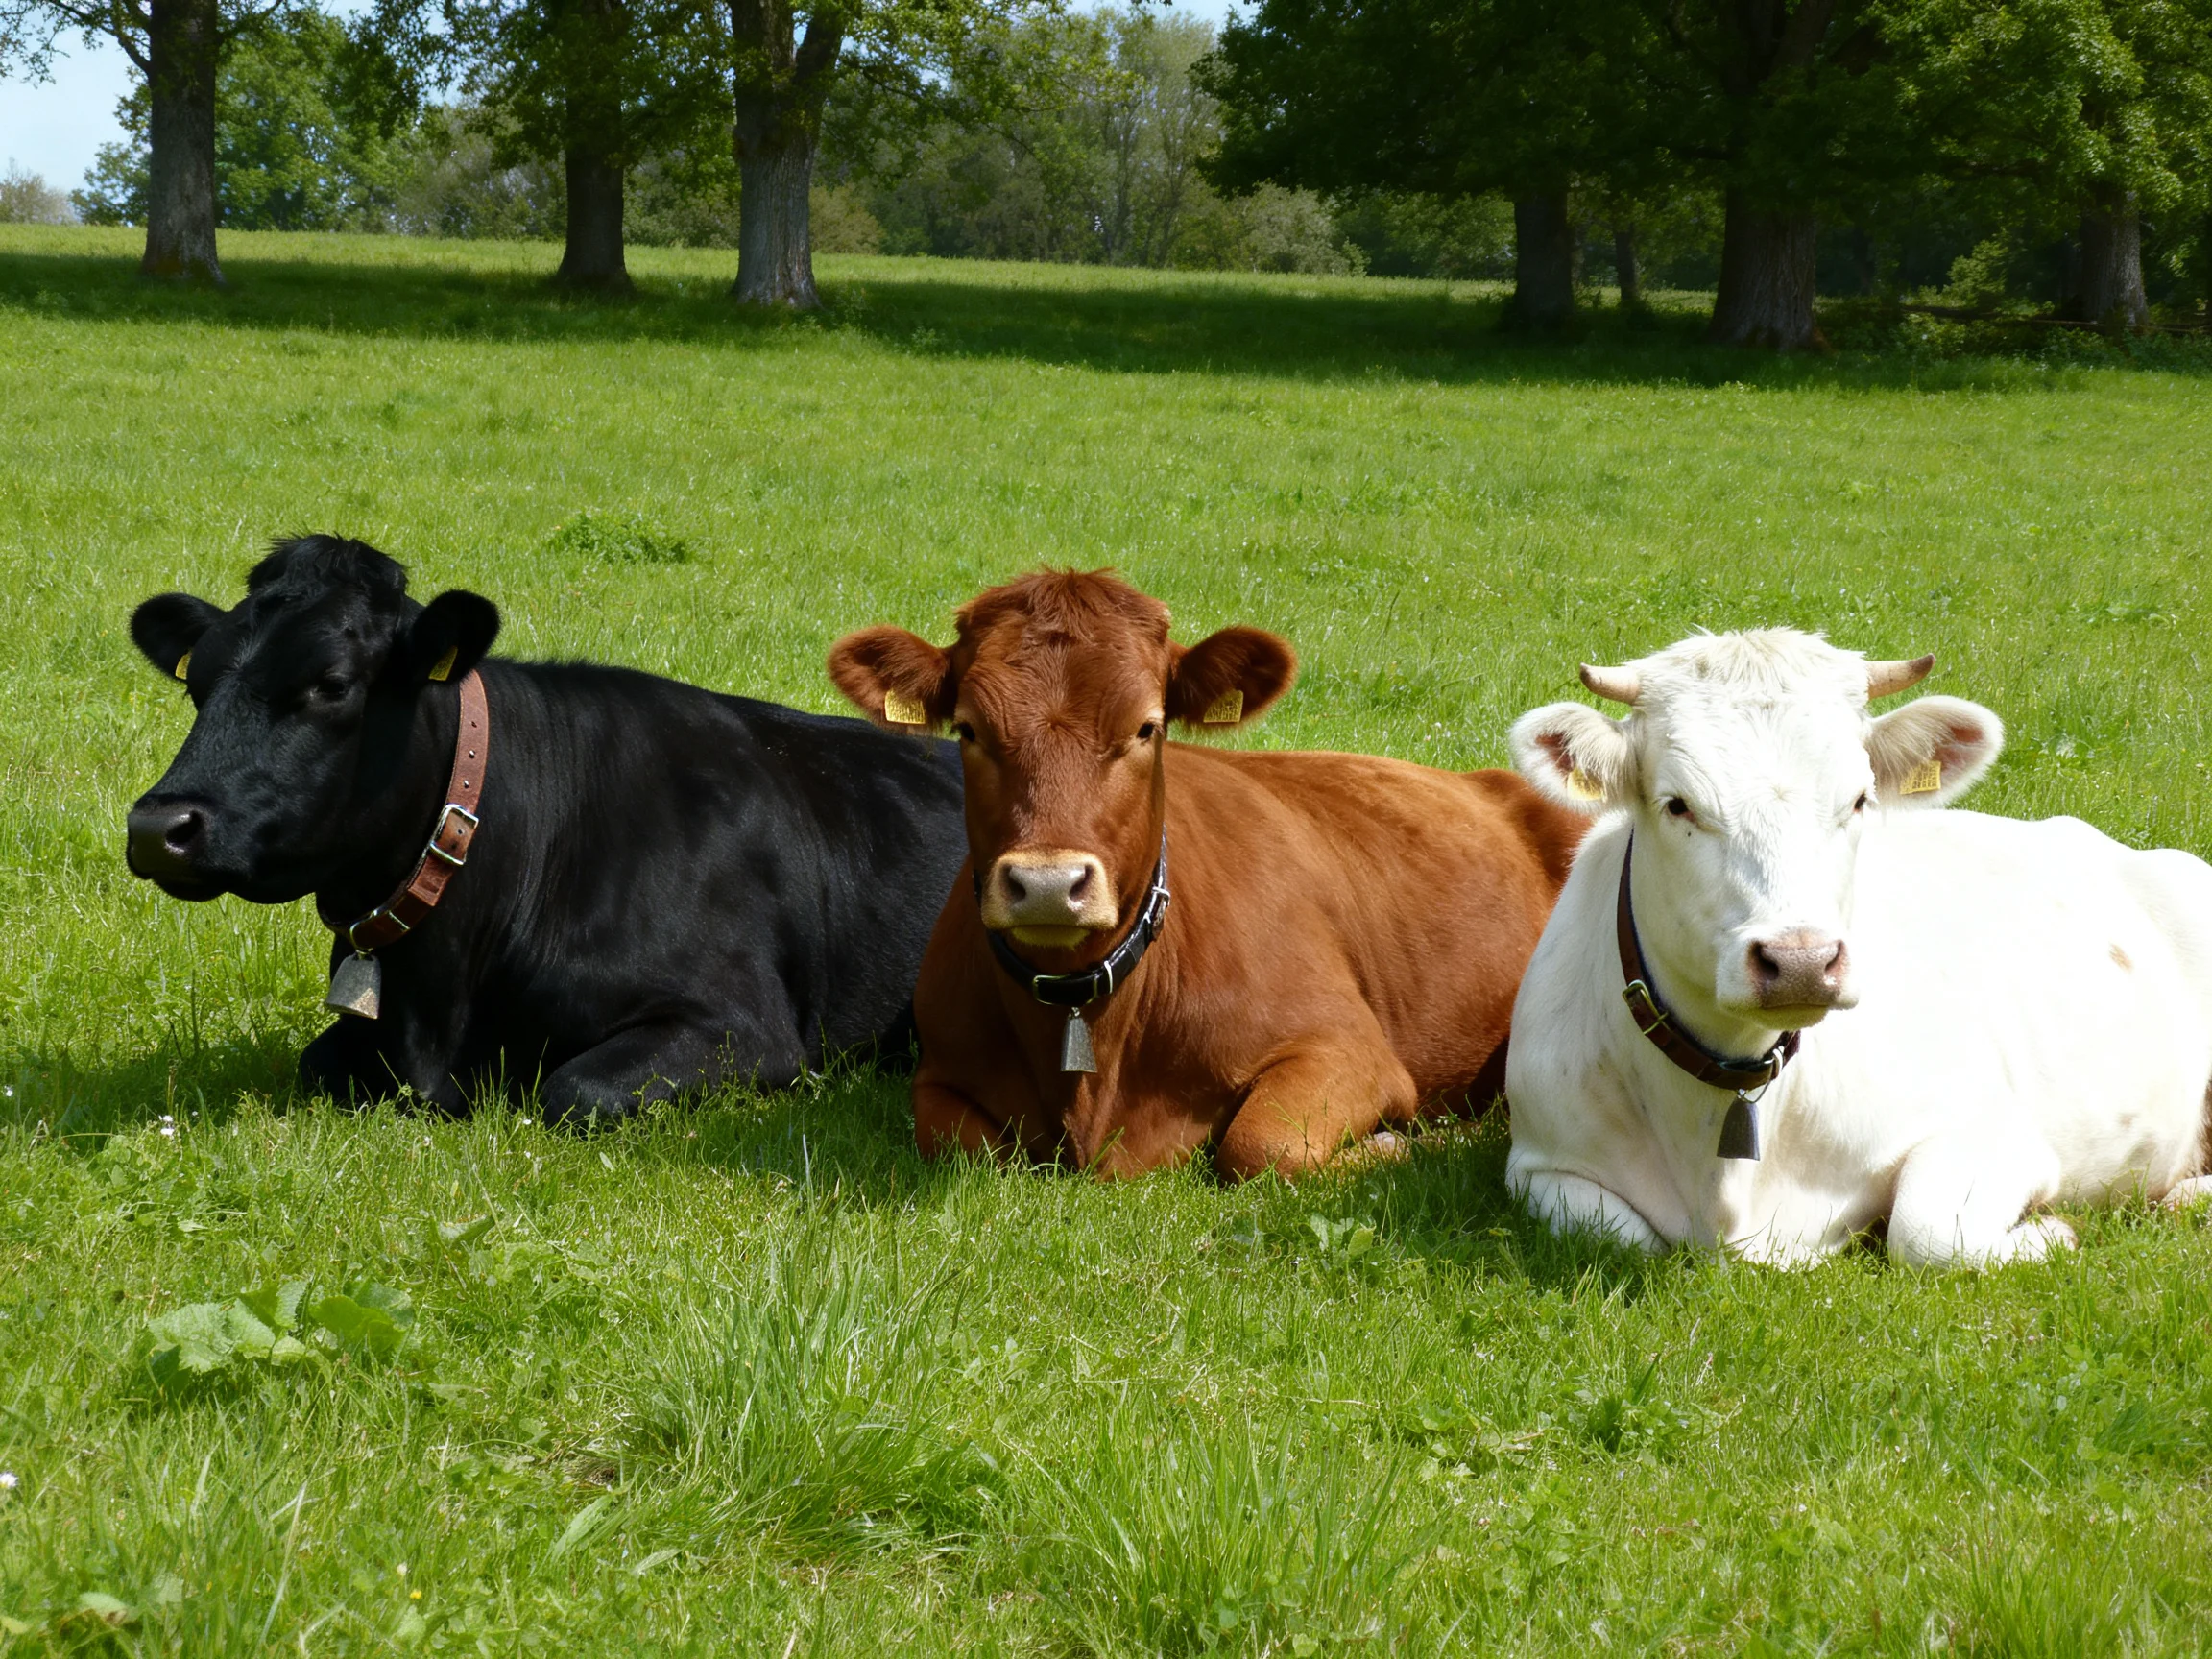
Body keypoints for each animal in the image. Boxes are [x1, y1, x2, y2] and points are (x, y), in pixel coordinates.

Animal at [125, 535, 968, 1120]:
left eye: (331, 683)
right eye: (198, 684)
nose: (157, 825)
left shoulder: (747, 1027)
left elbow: (575, 1091)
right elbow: (317, 1062)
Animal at [825, 569, 1587, 1179]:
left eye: (1146, 728)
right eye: (969, 730)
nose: (1047, 884)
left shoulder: (1350, 1050)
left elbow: (1262, 1146)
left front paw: (1404, 1145)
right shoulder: (940, 1074)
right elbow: (968, 1146)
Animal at [1503, 627, 2212, 1267]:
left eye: (1859, 799)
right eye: (1678, 804)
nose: (1800, 963)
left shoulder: (1999, 1133)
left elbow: (1925, 1233)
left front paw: (2053, 1232)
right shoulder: (1537, 1166)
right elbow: (1630, 1238)